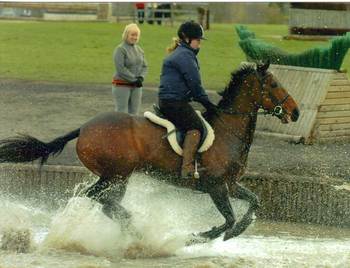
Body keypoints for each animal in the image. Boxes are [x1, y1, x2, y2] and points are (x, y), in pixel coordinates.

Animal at [0, 62, 300, 243]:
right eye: (274, 85)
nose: (295, 112)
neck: (228, 130)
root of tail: (84, 128)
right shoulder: (216, 186)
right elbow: (228, 219)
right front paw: (197, 237)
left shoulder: (230, 184)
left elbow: (253, 203)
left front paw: (235, 231)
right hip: (117, 175)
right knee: (97, 198)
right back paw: (136, 226)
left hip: (115, 177)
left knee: (101, 201)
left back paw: (133, 228)